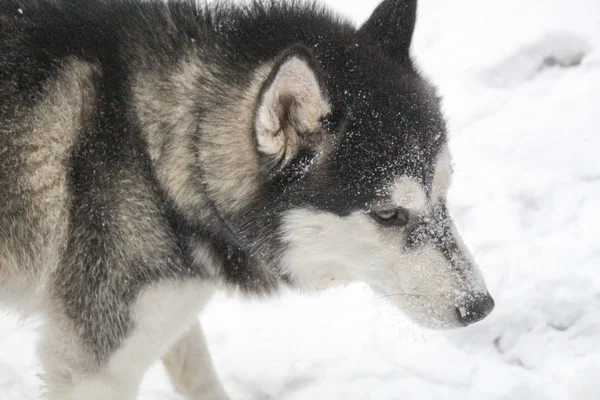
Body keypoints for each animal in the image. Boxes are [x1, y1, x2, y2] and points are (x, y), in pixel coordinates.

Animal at [1, 0, 492, 398]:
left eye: (444, 193)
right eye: (388, 213)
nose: (480, 307)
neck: (156, 155)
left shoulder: (165, 313)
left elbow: (198, 374)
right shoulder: (94, 369)